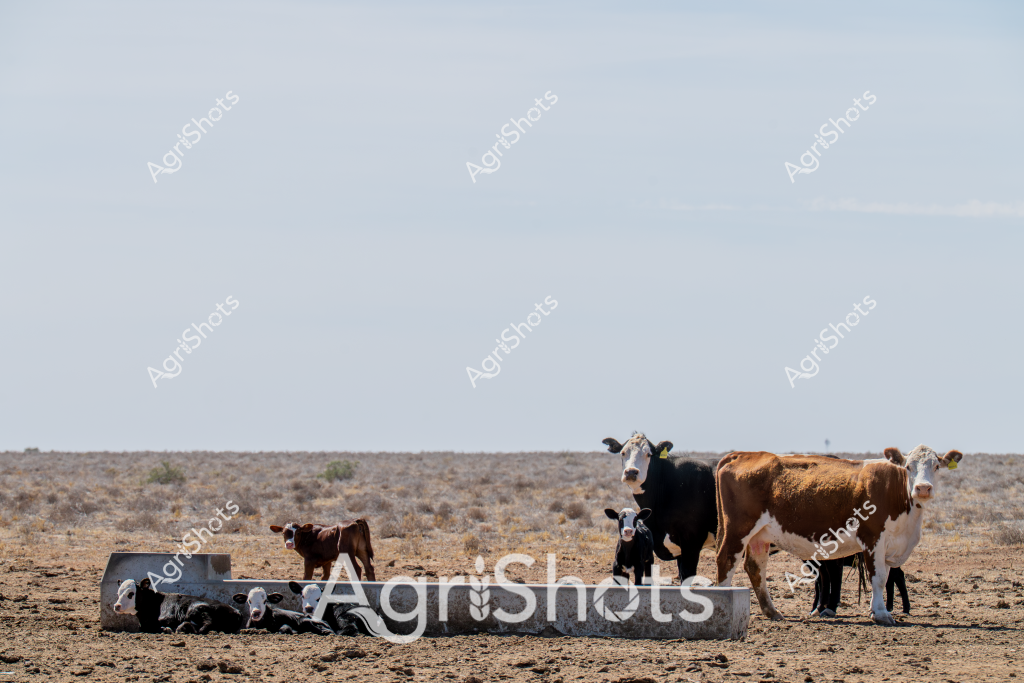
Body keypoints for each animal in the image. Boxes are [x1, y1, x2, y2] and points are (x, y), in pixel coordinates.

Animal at [113, 578, 242, 634]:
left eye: (131, 594)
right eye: (118, 593)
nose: (117, 606)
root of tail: (236, 611)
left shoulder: (168, 618)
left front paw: (166, 628)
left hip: (197, 609)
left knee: (206, 625)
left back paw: (181, 628)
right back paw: (183, 627)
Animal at [715, 445, 962, 625]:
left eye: (936, 466)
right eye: (909, 467)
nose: (923, 488)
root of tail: (741, 454)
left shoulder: (891, 544)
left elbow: (886, 578)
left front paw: (876, 610)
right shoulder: (873, 538)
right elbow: (878, 577)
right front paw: (881, 614)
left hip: (759, 536)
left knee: (755, 567)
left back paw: (772, 611)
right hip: (738, 529)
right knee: (726, 559)